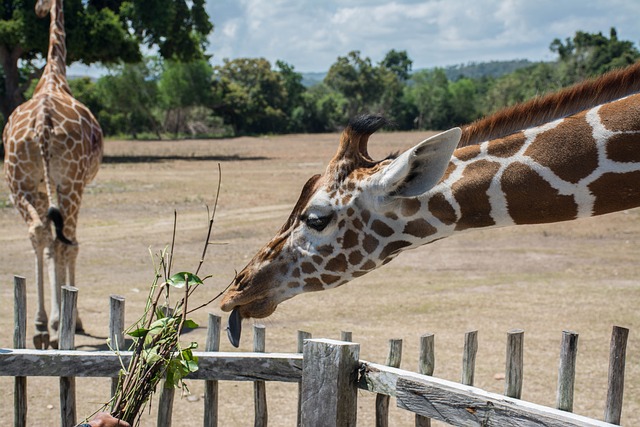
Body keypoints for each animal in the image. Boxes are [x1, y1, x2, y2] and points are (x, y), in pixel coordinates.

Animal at [3, 0, 102, 350]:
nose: (38, 8)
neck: (54, 76)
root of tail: (43, 124)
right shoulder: (71, 183)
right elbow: (68, 245)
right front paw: (74, 320)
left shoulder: (40, 187)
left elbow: (47, 241)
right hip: (70, 182)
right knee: (65, 242)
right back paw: (56, 326)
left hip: (17, 181)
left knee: (38, 232)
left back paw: (40, 326)